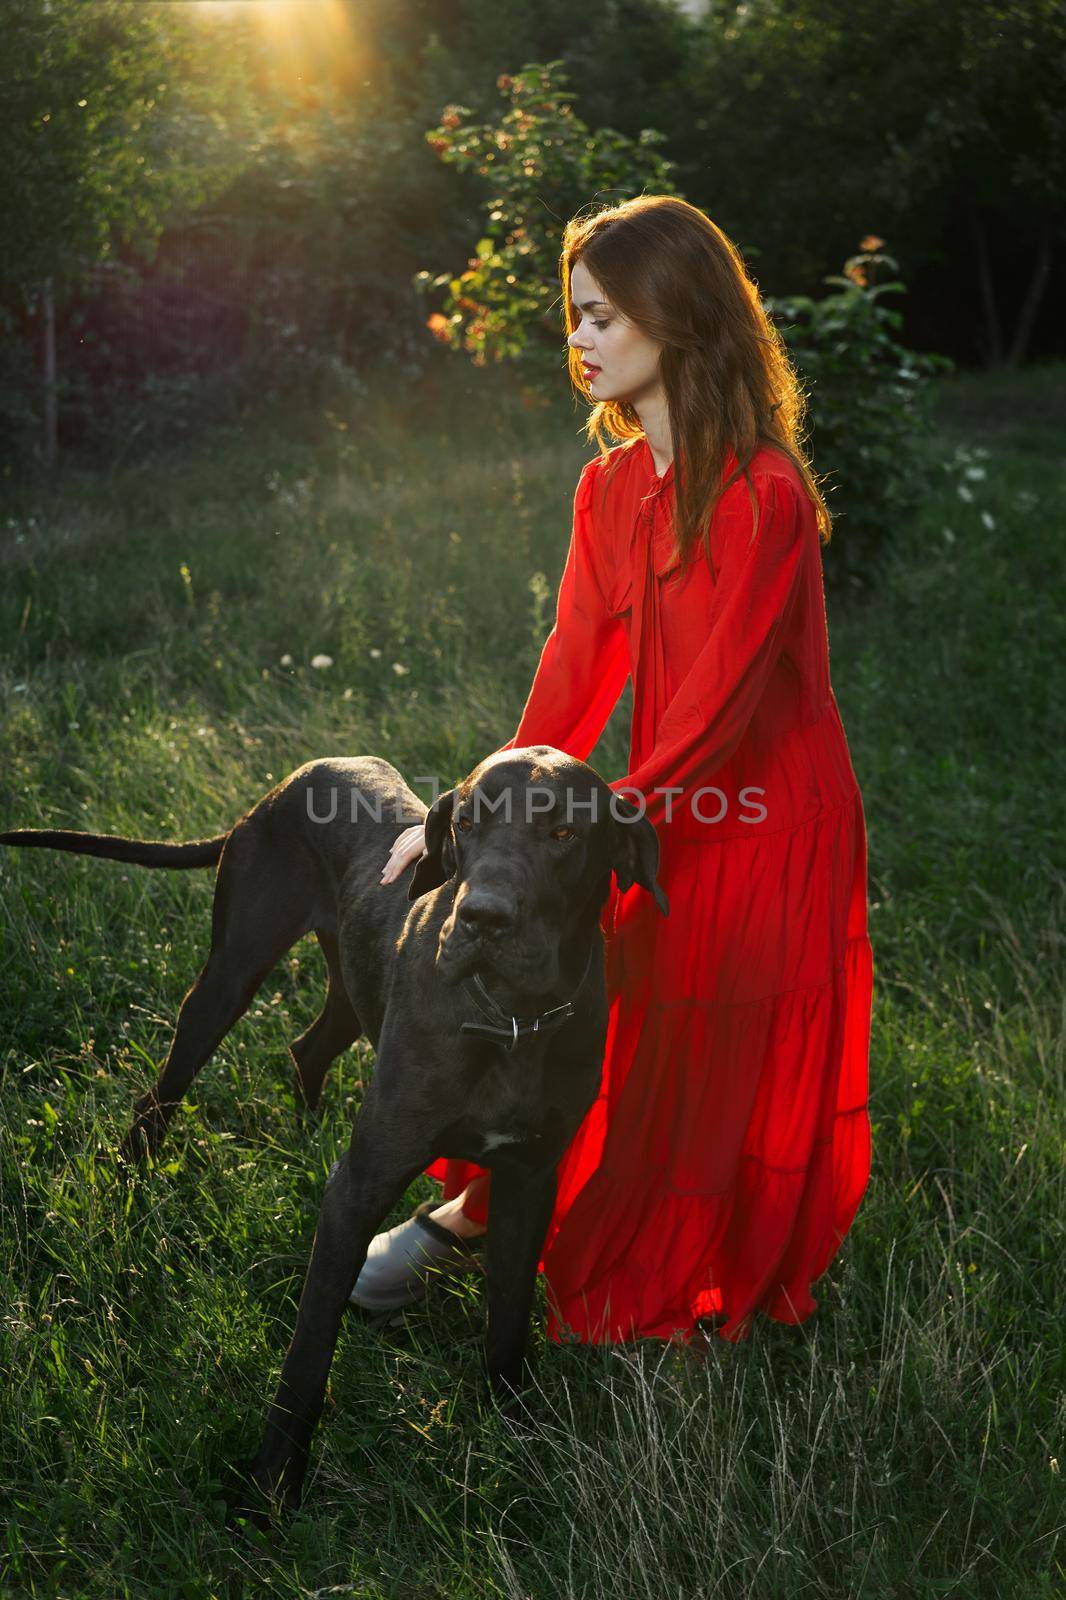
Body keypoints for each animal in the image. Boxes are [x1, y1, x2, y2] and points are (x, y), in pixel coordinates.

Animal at [2, 748, 665, 1510]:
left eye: (564, 836)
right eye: (466, 823)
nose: (481, 917)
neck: (510, 1019)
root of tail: (293, 778)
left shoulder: (529, 1181)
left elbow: (509, 1318)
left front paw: (515, 1429)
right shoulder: (362, 1188)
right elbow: (308, 1352)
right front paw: (270, 1489)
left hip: (349, 987)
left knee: (305, 1049)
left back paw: (301, 1138)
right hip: (230, 976)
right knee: (159, 1097)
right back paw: (127, 1189)